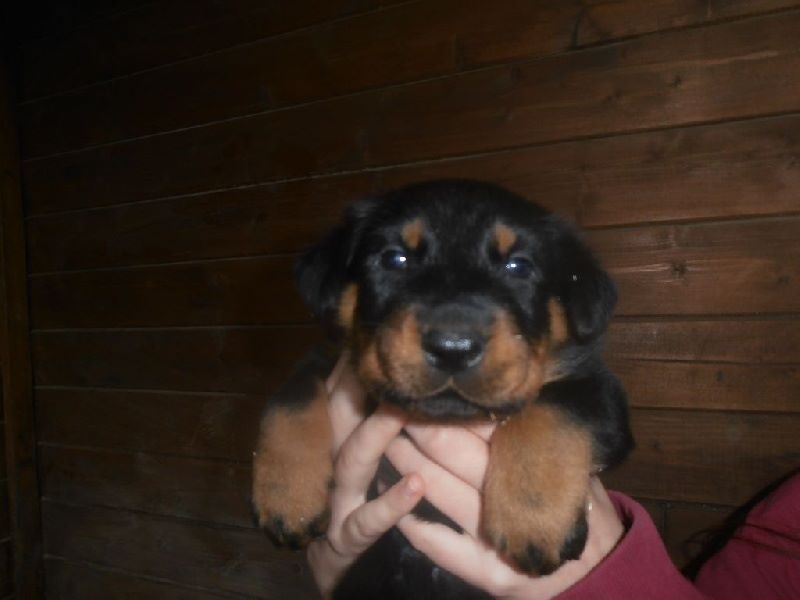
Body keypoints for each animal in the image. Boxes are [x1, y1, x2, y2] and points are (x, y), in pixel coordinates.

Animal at [252, 179, 633, 599]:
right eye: (394, 259)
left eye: (519, 266)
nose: (453, 348)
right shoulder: (331, 358)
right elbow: (292, 397)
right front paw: (288, 500)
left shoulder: (597, 386)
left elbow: (550, 410)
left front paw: (534, 520)